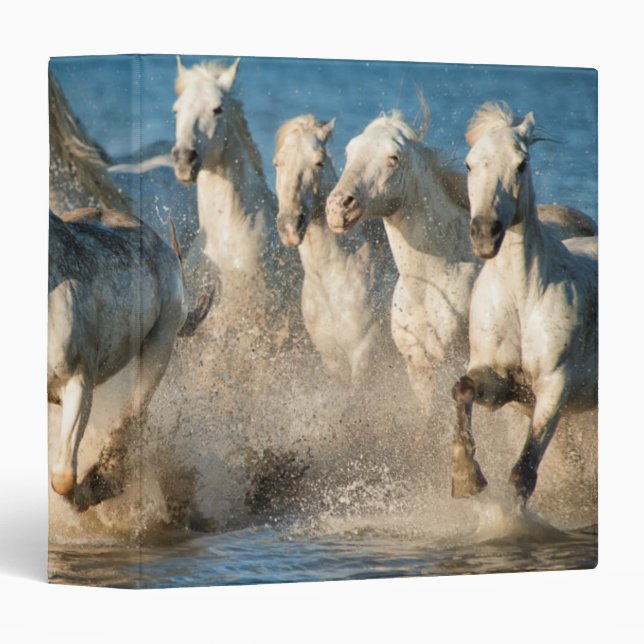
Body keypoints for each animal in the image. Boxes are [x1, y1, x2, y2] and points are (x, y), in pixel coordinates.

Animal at [48, 208, 212, 510]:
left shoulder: (78, 382)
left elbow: (63, 477)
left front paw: (86, 494)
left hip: (160, 346)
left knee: (133, 414)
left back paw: (103, 482)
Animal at [451, 102, 597, 504]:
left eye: (521, 164)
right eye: (469, 164)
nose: (485, 232)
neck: (520, 298)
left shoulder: (553, 386)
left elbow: (523, 474)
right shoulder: (499, 381)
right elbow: (462, 388)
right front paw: (466, 477)